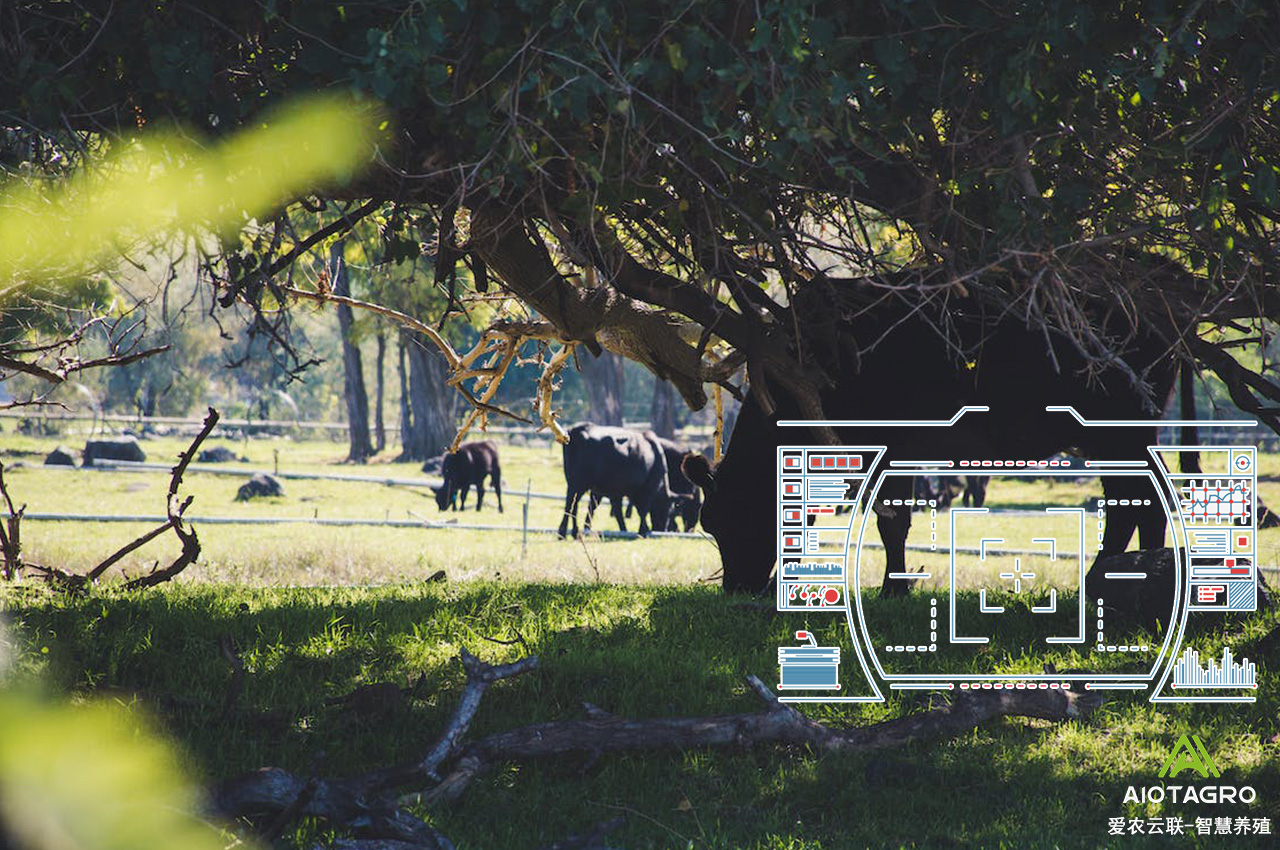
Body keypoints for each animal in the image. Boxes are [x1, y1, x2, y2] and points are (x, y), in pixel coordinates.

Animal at [691, 298, 1177, 596]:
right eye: (709, 523)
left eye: (740, 515)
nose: (737, 588)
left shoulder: (891, 446)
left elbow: (892, 522)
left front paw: (893, 588)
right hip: (1111, 436)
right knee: (1133, 502)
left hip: (1124, 429)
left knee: (1146, 501)